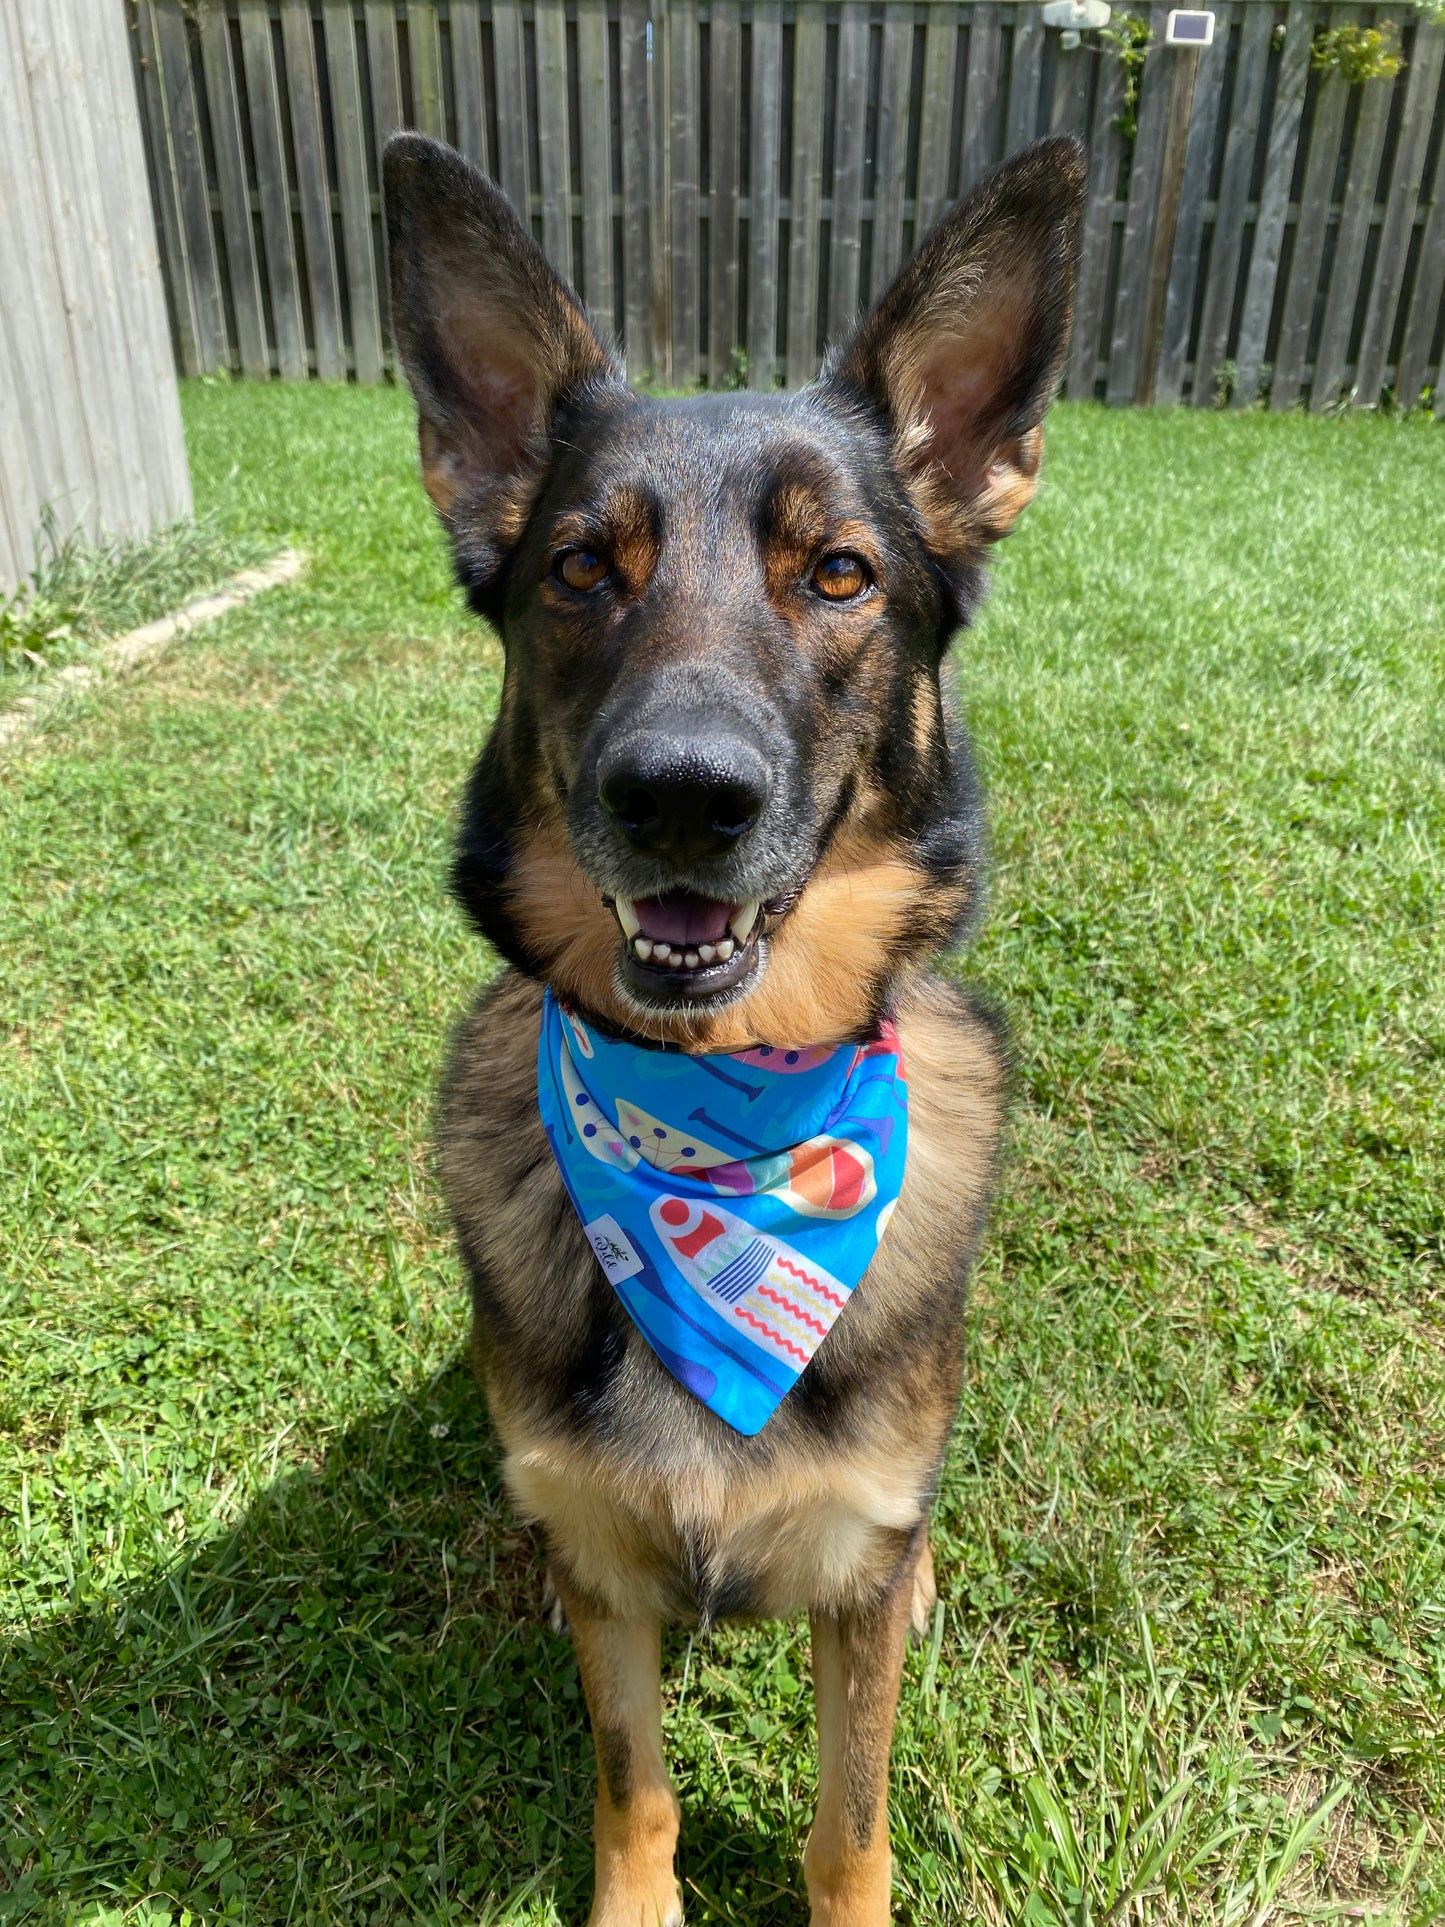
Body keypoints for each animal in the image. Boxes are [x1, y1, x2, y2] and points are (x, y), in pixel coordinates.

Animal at [385, 128, 1086, 1919]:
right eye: (581, 568)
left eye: (837, 571)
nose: (683, 799)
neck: (720, 1143)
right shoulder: (612, 1575)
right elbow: (635, 1785)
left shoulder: (849, 1571)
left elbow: (849, 1819)